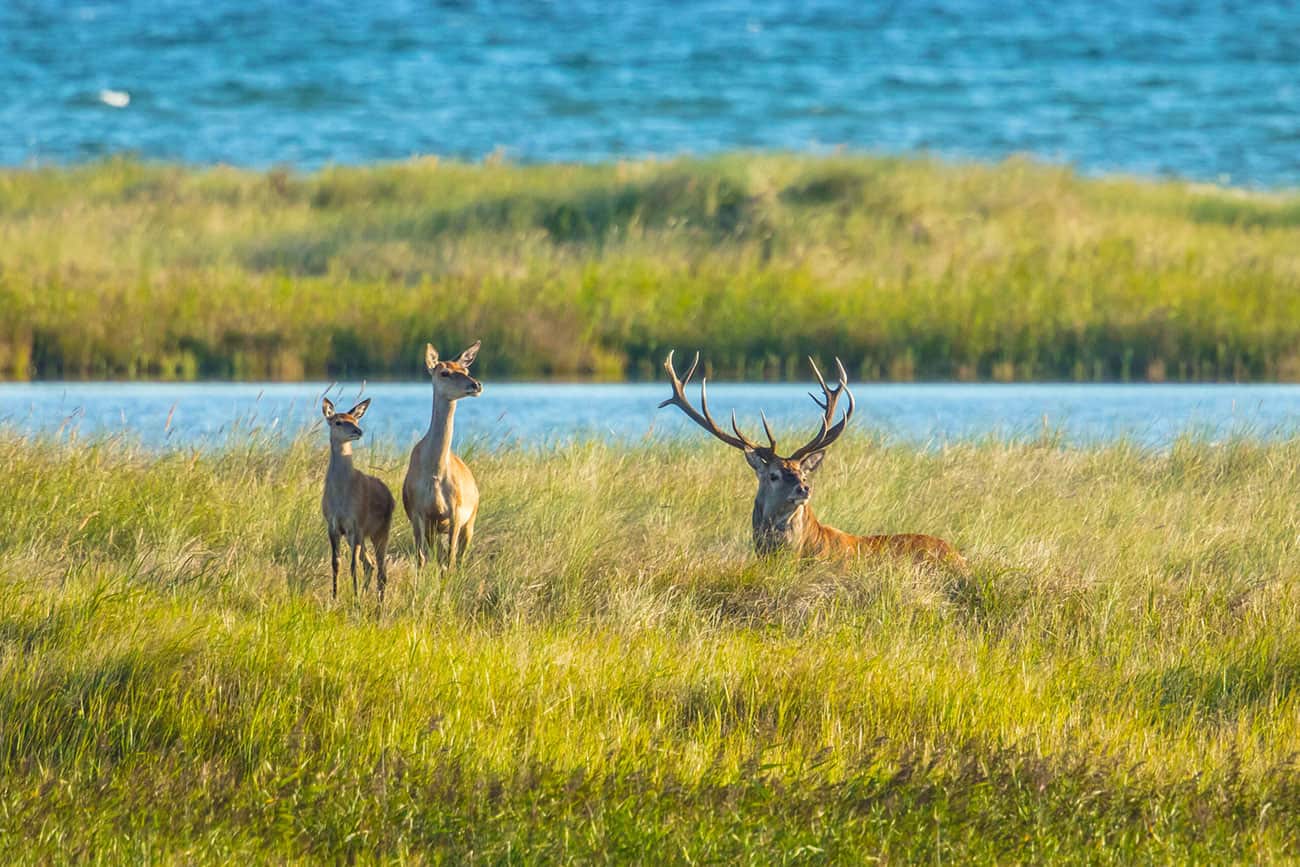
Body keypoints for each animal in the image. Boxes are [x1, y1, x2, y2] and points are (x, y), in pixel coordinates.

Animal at [318, 397, 390, 600]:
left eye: (355, 420)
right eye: (338, 421)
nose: (358, 431)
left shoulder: (357, 523)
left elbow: (352, 565)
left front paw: (355, 598)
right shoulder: (333, 525)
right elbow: (336, 563)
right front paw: (335, 597)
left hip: (381, 530)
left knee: (381, 570)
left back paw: (378, 603)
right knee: (370, 564)